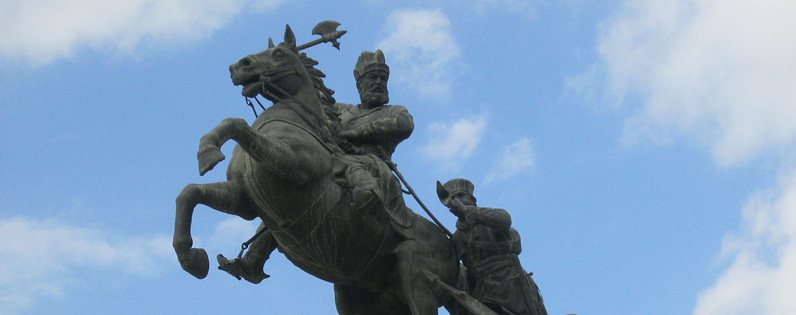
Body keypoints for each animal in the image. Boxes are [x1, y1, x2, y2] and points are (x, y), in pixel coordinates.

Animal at [174, 25, 460, 315]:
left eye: (279, 54)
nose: (238, 66)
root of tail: (452, 247)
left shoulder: (292, 164)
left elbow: (237, 124)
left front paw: (209, 151)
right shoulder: (245, 201)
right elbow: (190, 193)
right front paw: (192, 258)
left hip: (418, 281)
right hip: (358, 295)